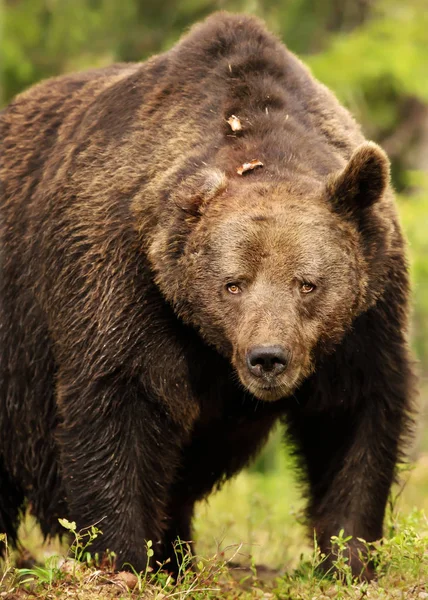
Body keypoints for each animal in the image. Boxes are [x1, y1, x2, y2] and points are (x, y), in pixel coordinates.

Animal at [0, 10, 414, 580]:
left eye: (307, 283)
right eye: (232, 284)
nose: (268, 358)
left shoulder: (365, 312)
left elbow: (353, 416)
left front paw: (348, 559)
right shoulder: (125, 283)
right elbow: (118, 410)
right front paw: (125, 559)